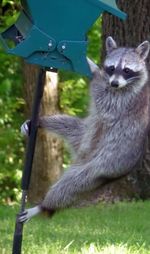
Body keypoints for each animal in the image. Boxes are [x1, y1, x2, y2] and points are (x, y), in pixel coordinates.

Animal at [19, 36, 149, 222]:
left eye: (127, 70)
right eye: (112, 68)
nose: (114, 83)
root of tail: (81, 157)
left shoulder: (122, 100)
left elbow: (99, 90)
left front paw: (88, 65)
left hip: (106, 164)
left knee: (71, 185)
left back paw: (44, 206)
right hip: (82, 135)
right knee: (67, 123)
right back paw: (40, 122)